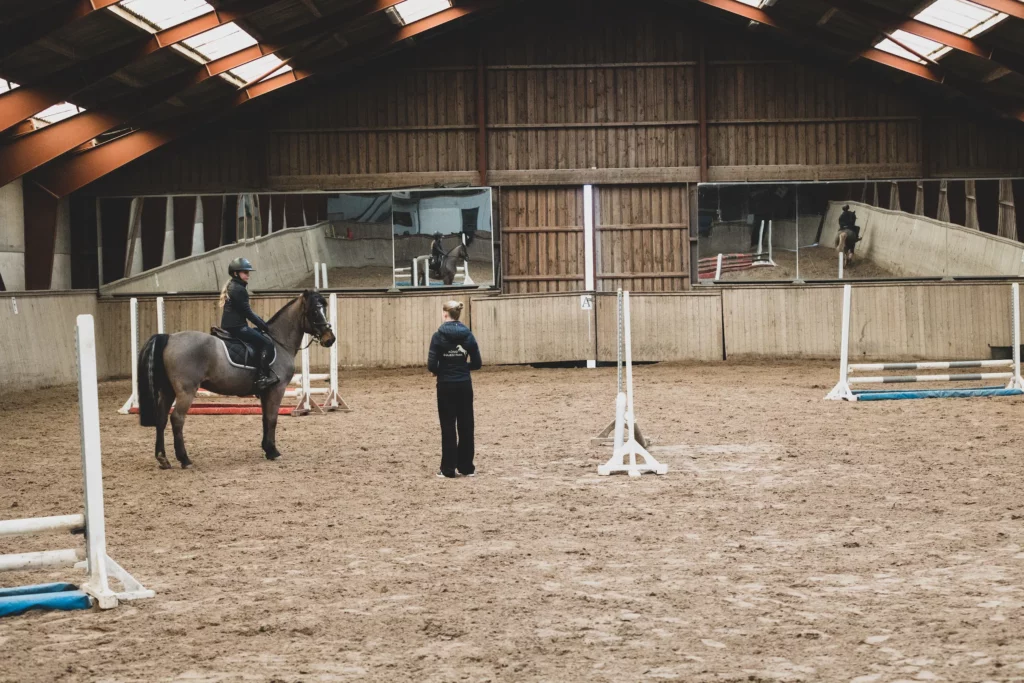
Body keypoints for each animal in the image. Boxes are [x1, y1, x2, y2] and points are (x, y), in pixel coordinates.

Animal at [136, 288, 333, 471]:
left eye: (324, 308)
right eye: (314, 312)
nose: (330, 339)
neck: (279, 342)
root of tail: (170, 338)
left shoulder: (265, 392)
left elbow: (264, 419)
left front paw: (266, 449)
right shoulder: (277, 390)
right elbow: (272, 419)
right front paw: (273, 451)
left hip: (167, 390)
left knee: (161, 418)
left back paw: (163, 459)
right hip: (186, 391)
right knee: (177, 419)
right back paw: (185, 459)